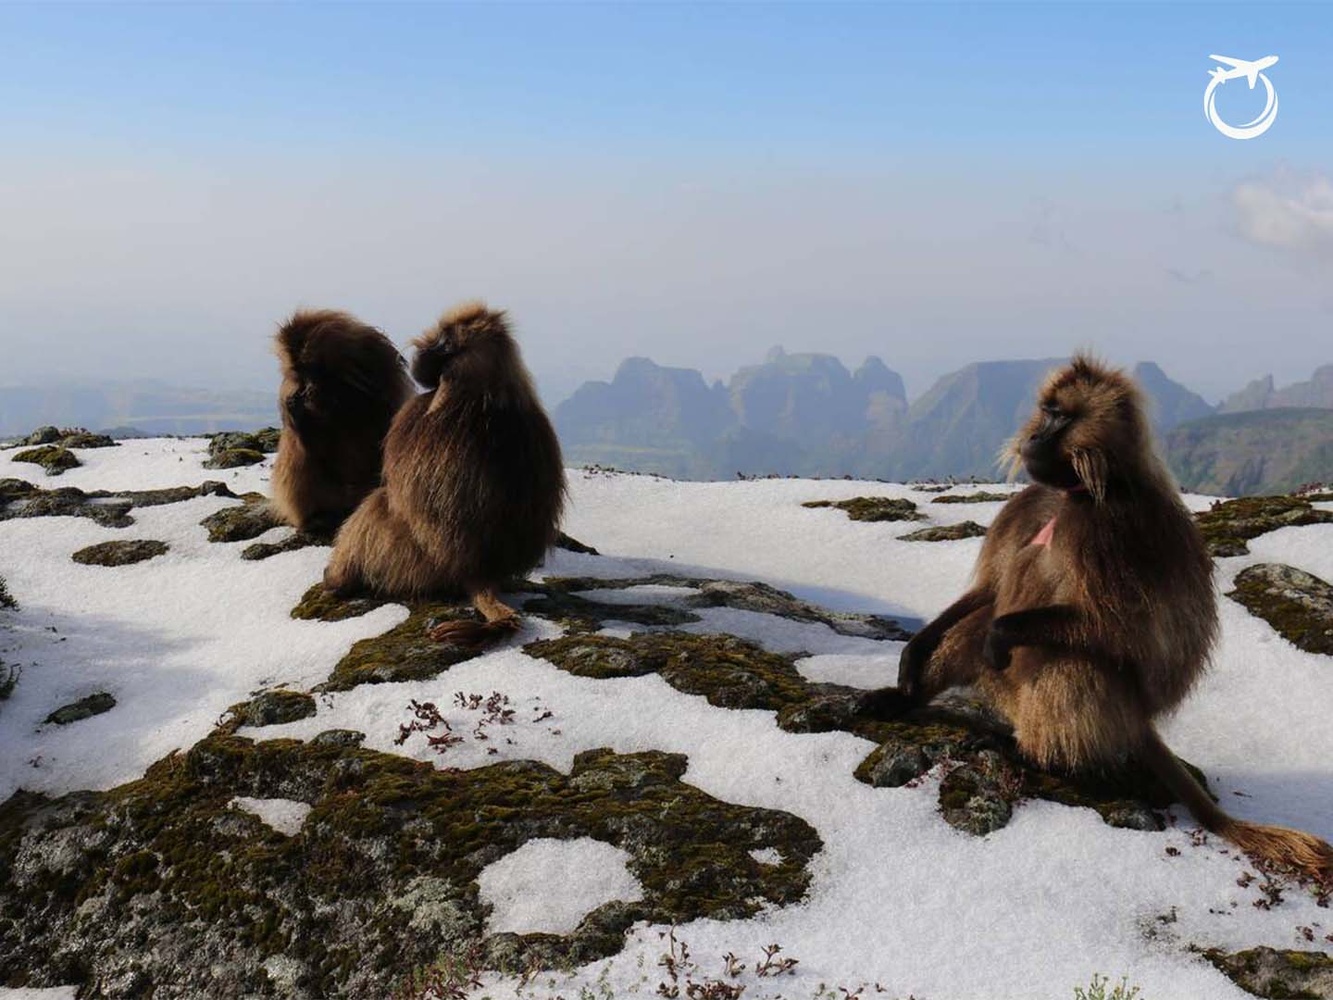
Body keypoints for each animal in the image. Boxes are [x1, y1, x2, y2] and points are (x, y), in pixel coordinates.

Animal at [270, 309, 415, 537]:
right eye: (299, 371)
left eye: (309, 367)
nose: (306, 389)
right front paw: (299, 409)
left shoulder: (377, 363)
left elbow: (377, 415)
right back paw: (318, 518)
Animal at [323, 301, 567, 648]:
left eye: (442, 341)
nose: (419, 354)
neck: (485, 385)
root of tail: (479, 570)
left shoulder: (418, 411)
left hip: (407, 556)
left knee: (377, 504)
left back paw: (337, 579)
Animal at [860, 354, 1333, 885]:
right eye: (1046, 411)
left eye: (1061, 417)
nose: (1033, 438)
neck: (1075, 494)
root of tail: (1139, 724)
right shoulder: (1027, 506)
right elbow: (989, 592)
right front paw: (912, 655)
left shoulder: (1113, 530)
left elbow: (1119, 629)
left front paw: (1002, 636)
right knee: (974, 627)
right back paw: (904, 701)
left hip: (1108, 709)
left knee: (1069, 662)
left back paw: (1040, 757)